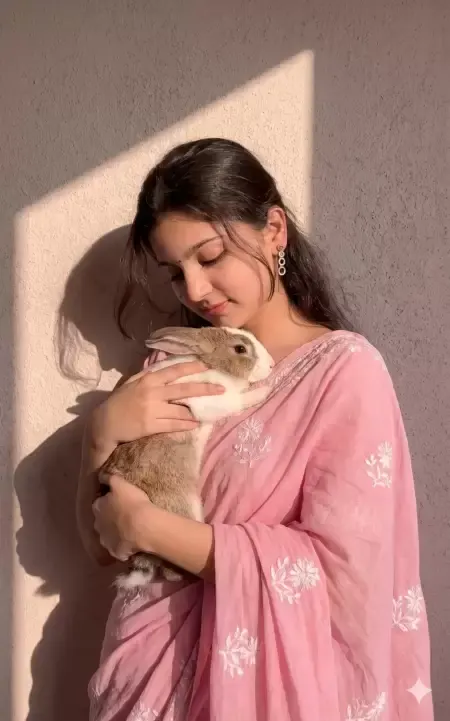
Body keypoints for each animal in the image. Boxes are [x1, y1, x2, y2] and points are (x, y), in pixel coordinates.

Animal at [99, 326, 275, 590]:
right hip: (186, 508)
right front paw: (265, 390)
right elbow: (237, 401)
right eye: (240, 348)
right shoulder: (211, 400)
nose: (272, 366)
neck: (210, 364)